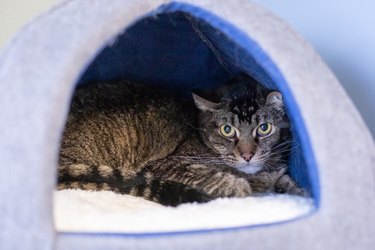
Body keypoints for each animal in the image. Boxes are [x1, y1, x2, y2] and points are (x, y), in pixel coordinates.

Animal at [58, 74, 306, 205]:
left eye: (264, 128)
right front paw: (238, 186)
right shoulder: (166, 164)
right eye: (227, 130)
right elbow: (208, 175)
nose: (247, 155)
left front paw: (293, 188)